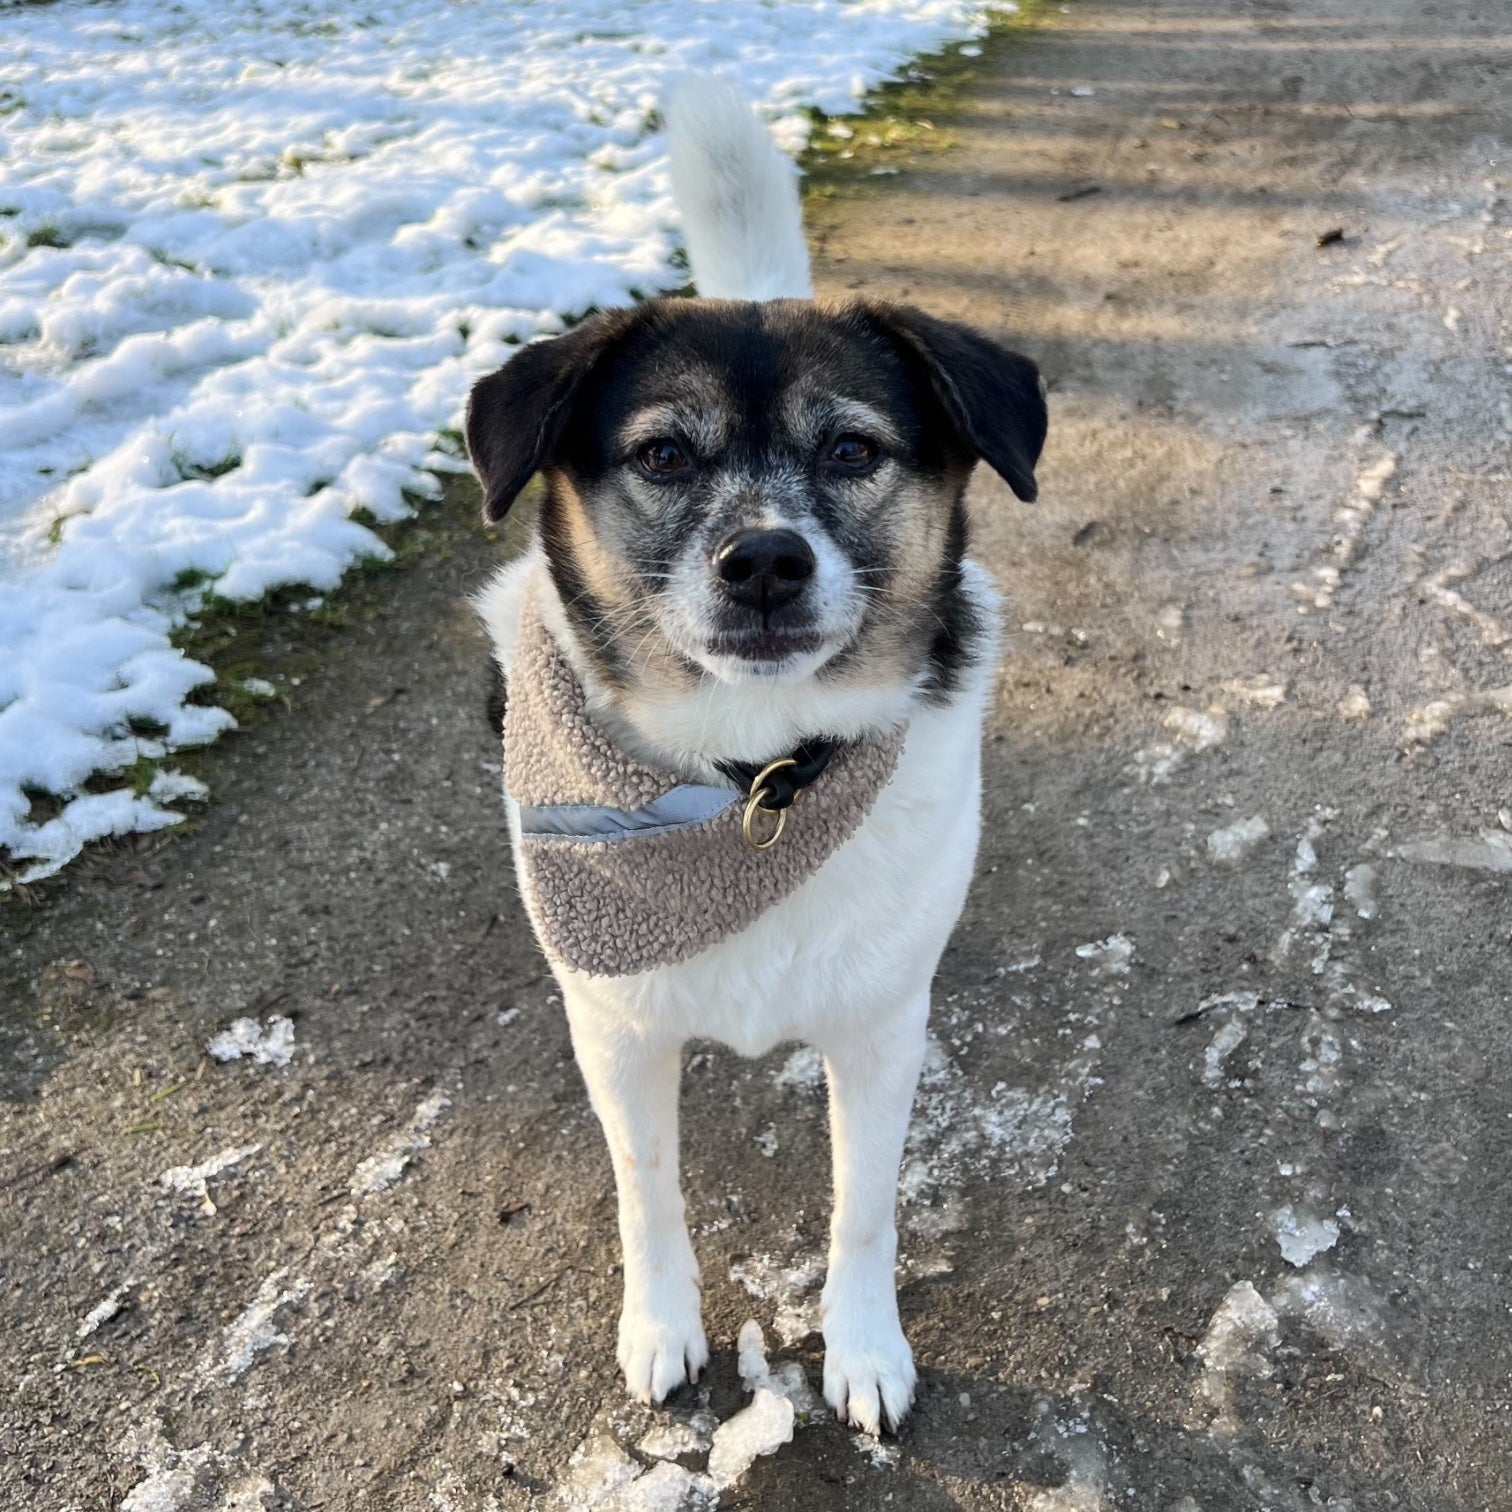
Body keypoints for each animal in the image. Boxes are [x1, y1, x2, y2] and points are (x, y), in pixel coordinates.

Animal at [465, 73, 1046, 1439]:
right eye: (663, 454)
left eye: (853, 450)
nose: (766, 561)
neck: (751, 787)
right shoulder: (618, 1033)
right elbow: (649, 1191)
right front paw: (662, 1327)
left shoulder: (880, 1031)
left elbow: (864, 1211)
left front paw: (865, 1351)